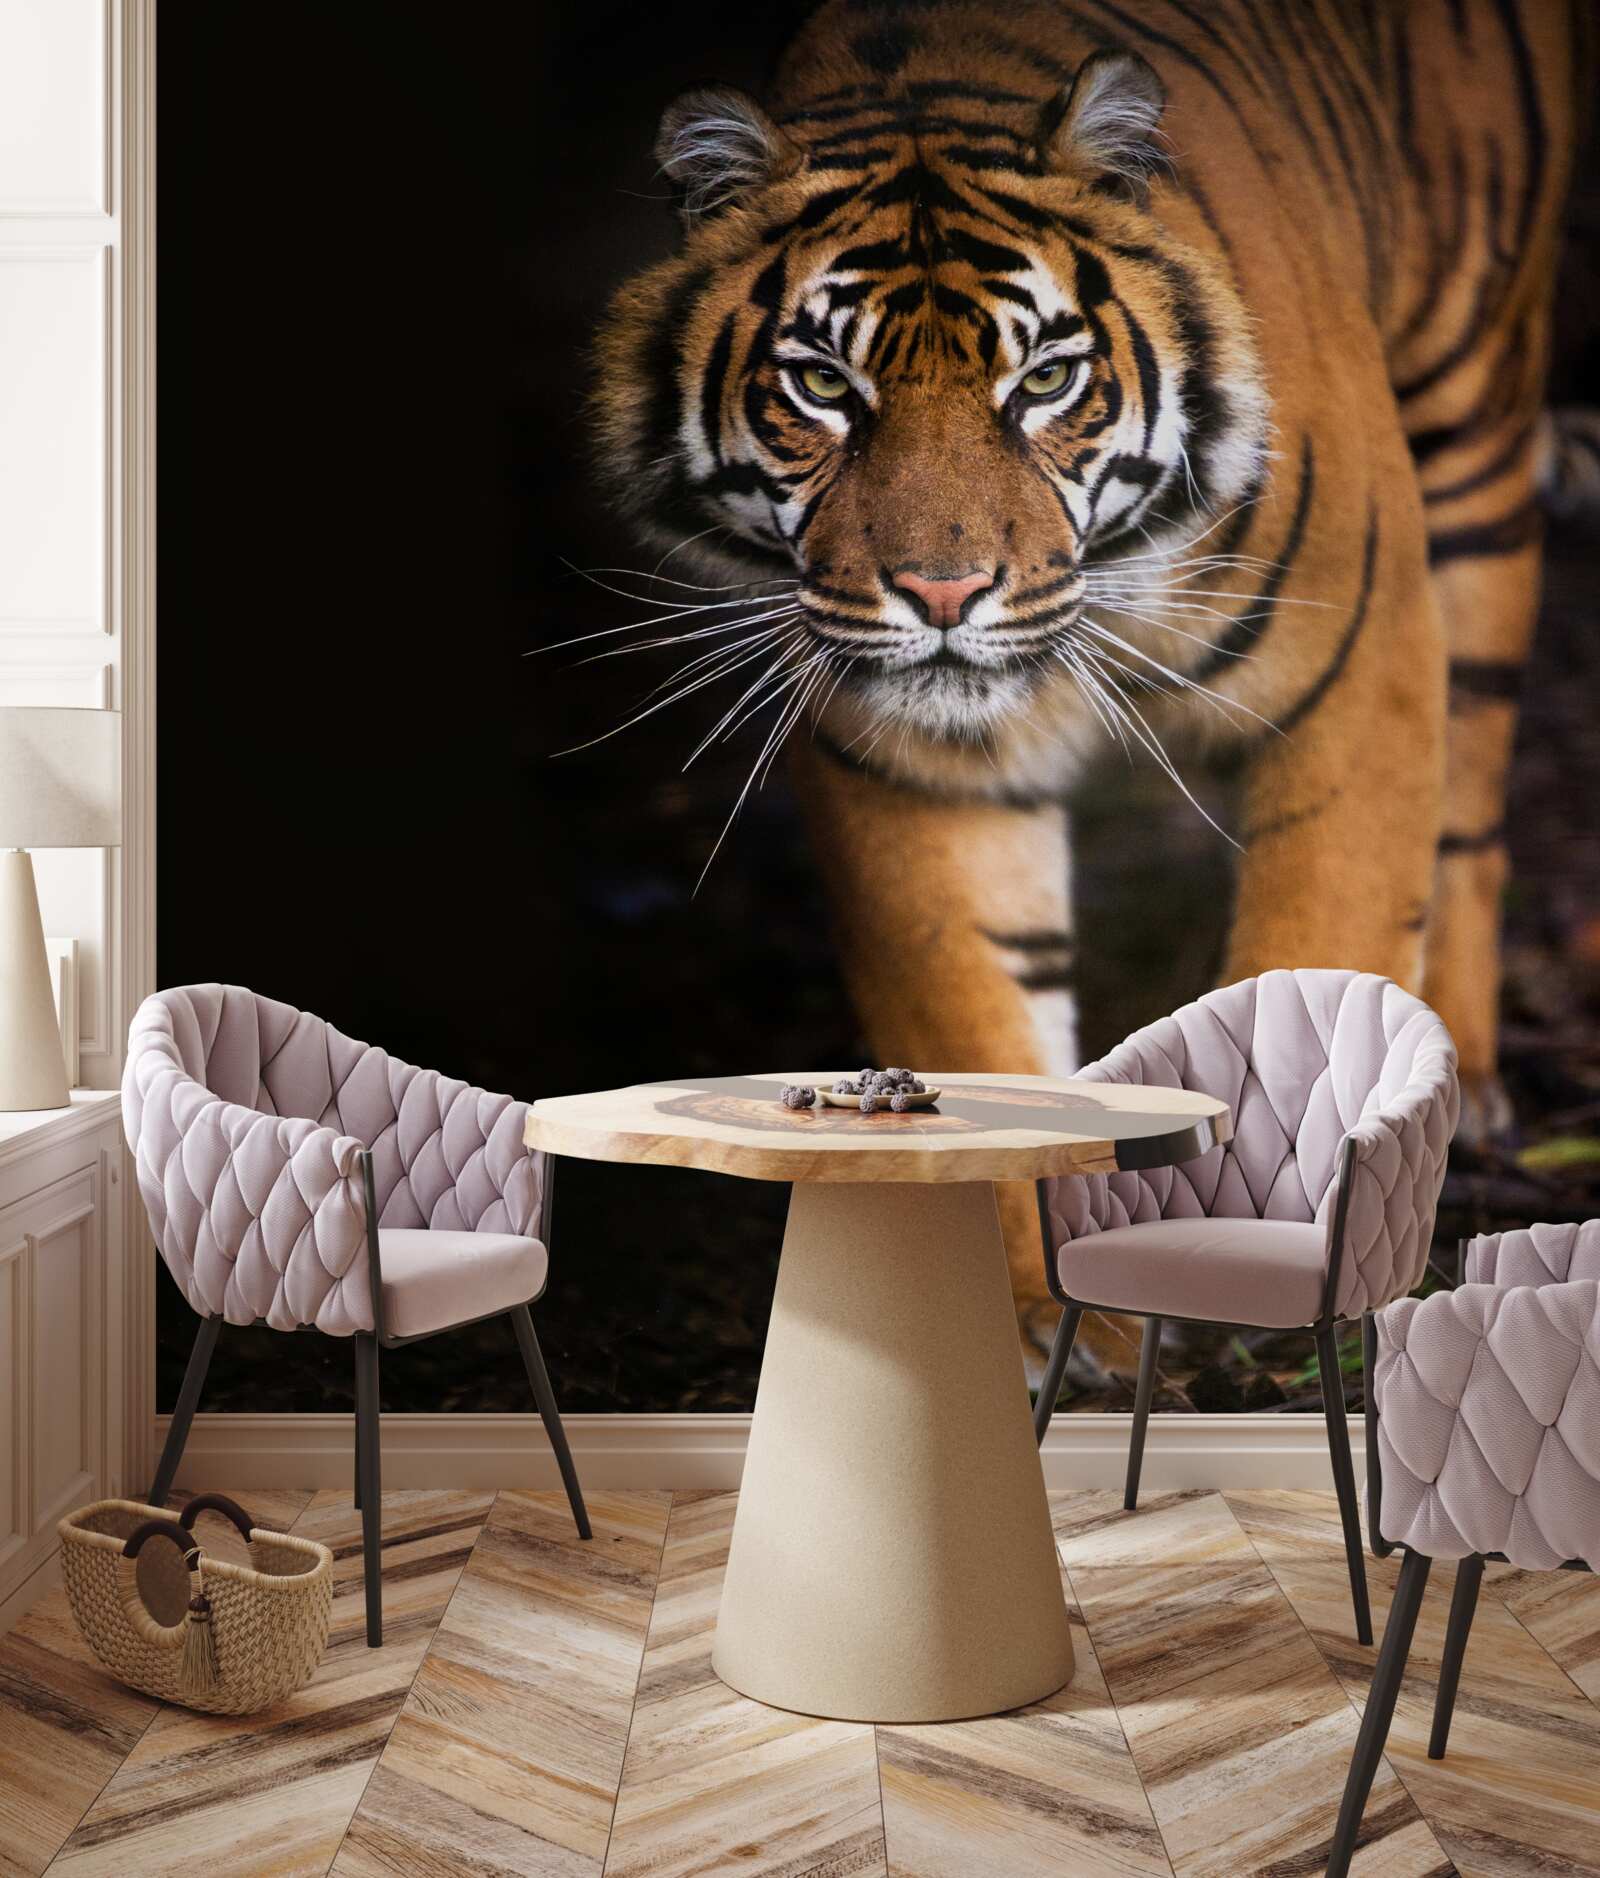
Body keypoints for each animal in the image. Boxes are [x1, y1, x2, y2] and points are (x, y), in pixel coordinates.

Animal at [589, 0, 1591, 1357]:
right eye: (823, 386)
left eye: (1046, 380)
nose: (943, 592)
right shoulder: (909, 764)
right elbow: (975, 1010)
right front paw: (1026, 1320)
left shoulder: (1365, 657)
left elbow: (1320, 944)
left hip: (1470, 426)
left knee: (1474, 802)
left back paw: (1472, 1074)